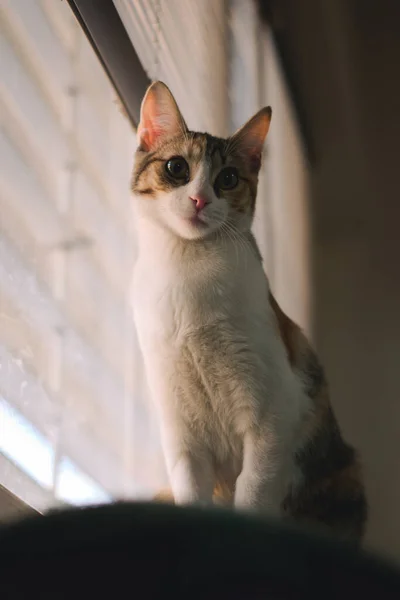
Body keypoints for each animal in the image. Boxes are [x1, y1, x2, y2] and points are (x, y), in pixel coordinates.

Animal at [130, 81, 368, 544]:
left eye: (227, 178)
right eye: (176, 167)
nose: (200, 199)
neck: (187, 273)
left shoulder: (275, 415)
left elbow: (253, 490)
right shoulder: (180, 432)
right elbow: (192, 491)